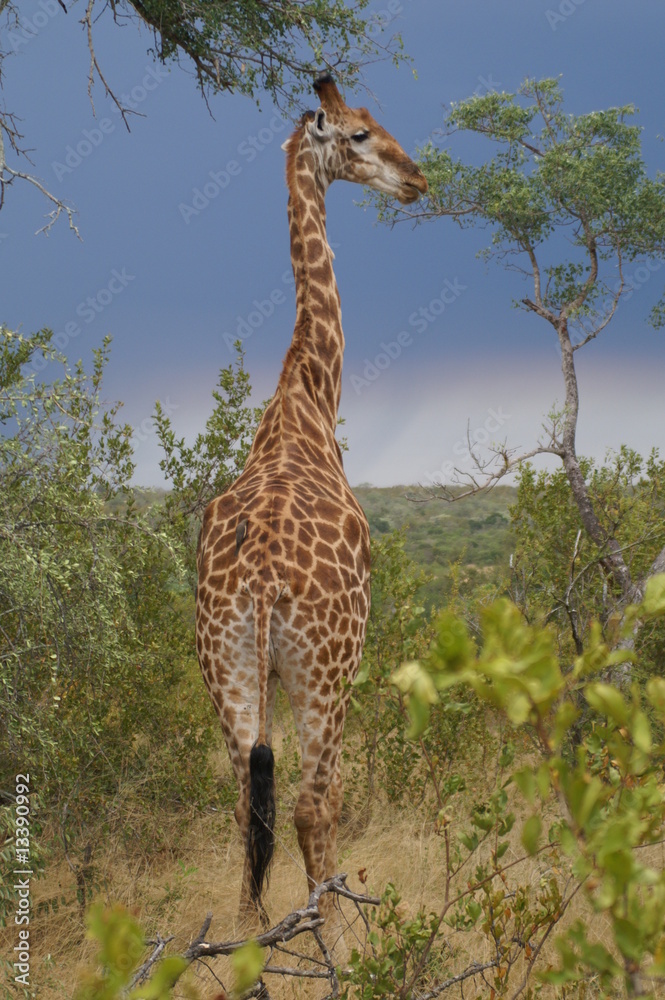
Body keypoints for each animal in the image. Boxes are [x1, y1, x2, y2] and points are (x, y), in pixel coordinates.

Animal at [196, 73, 427, 929]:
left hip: (225, 662)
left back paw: (246, 937)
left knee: (245, 802)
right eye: (358, 133)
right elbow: (321, 804)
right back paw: (335, 931)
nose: (415, 177)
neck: (306, 395)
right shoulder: (350, 655)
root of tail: (263, 585)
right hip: (324, 668)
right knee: (309, 803)